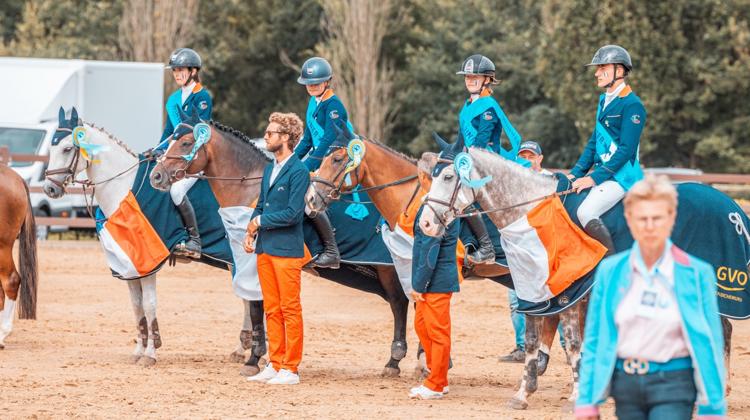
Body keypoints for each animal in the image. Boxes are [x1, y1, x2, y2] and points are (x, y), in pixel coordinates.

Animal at [44, 108, 262, 370]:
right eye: (51, 148)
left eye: (67, 148)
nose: (49, 189)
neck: (123, 189)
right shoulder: (128, 264)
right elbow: (136, 306)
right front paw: (139, 350)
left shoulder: (147, 262)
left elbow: (148, 305)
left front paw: (150, 354)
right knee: (247, 297)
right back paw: (242, 348)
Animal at [148, 110, 414, 376]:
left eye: (185, 143)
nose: (156, 176)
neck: (249, 187)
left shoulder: (253, 261)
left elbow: (256, 306)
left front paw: (254, 358)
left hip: (389, 268)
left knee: (399, 303)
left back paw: (396, 362)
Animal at [420, 140, 748, 406]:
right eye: (431, 176)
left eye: (448, 177)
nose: (425, 223)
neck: (531, 212)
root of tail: (732, 207)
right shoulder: (534, 292)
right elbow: (533, 341)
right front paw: (523, 394)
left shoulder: (570, 294)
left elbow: (574, 343)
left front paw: (579, 394)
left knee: (723, 330)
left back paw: (718, 389)